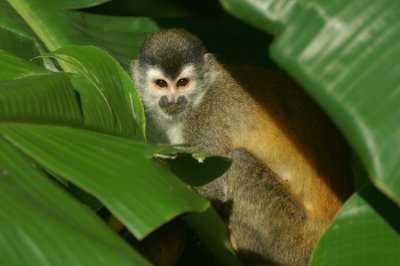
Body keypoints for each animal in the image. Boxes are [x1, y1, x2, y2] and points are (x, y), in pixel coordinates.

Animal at [132, 28, 354, 264]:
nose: (173, 100)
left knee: (240, 162)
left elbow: (213, 190)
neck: (200, 97)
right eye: (162, 84)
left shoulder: (206, 122)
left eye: (183, 82)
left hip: (293, 243)